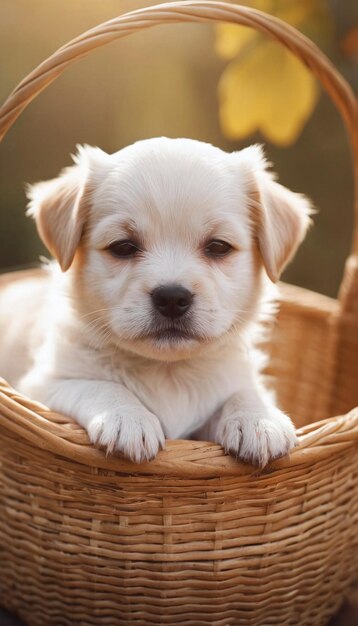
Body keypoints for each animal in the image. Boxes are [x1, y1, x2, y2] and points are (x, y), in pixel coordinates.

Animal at [0, 139, 312, 466]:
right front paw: (127, 418)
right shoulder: (42, 386)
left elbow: (244, 392)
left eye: (218, 247)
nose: (172, 297)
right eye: (123, 247)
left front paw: (259, 419)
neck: (168, 372)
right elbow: (97, 386)